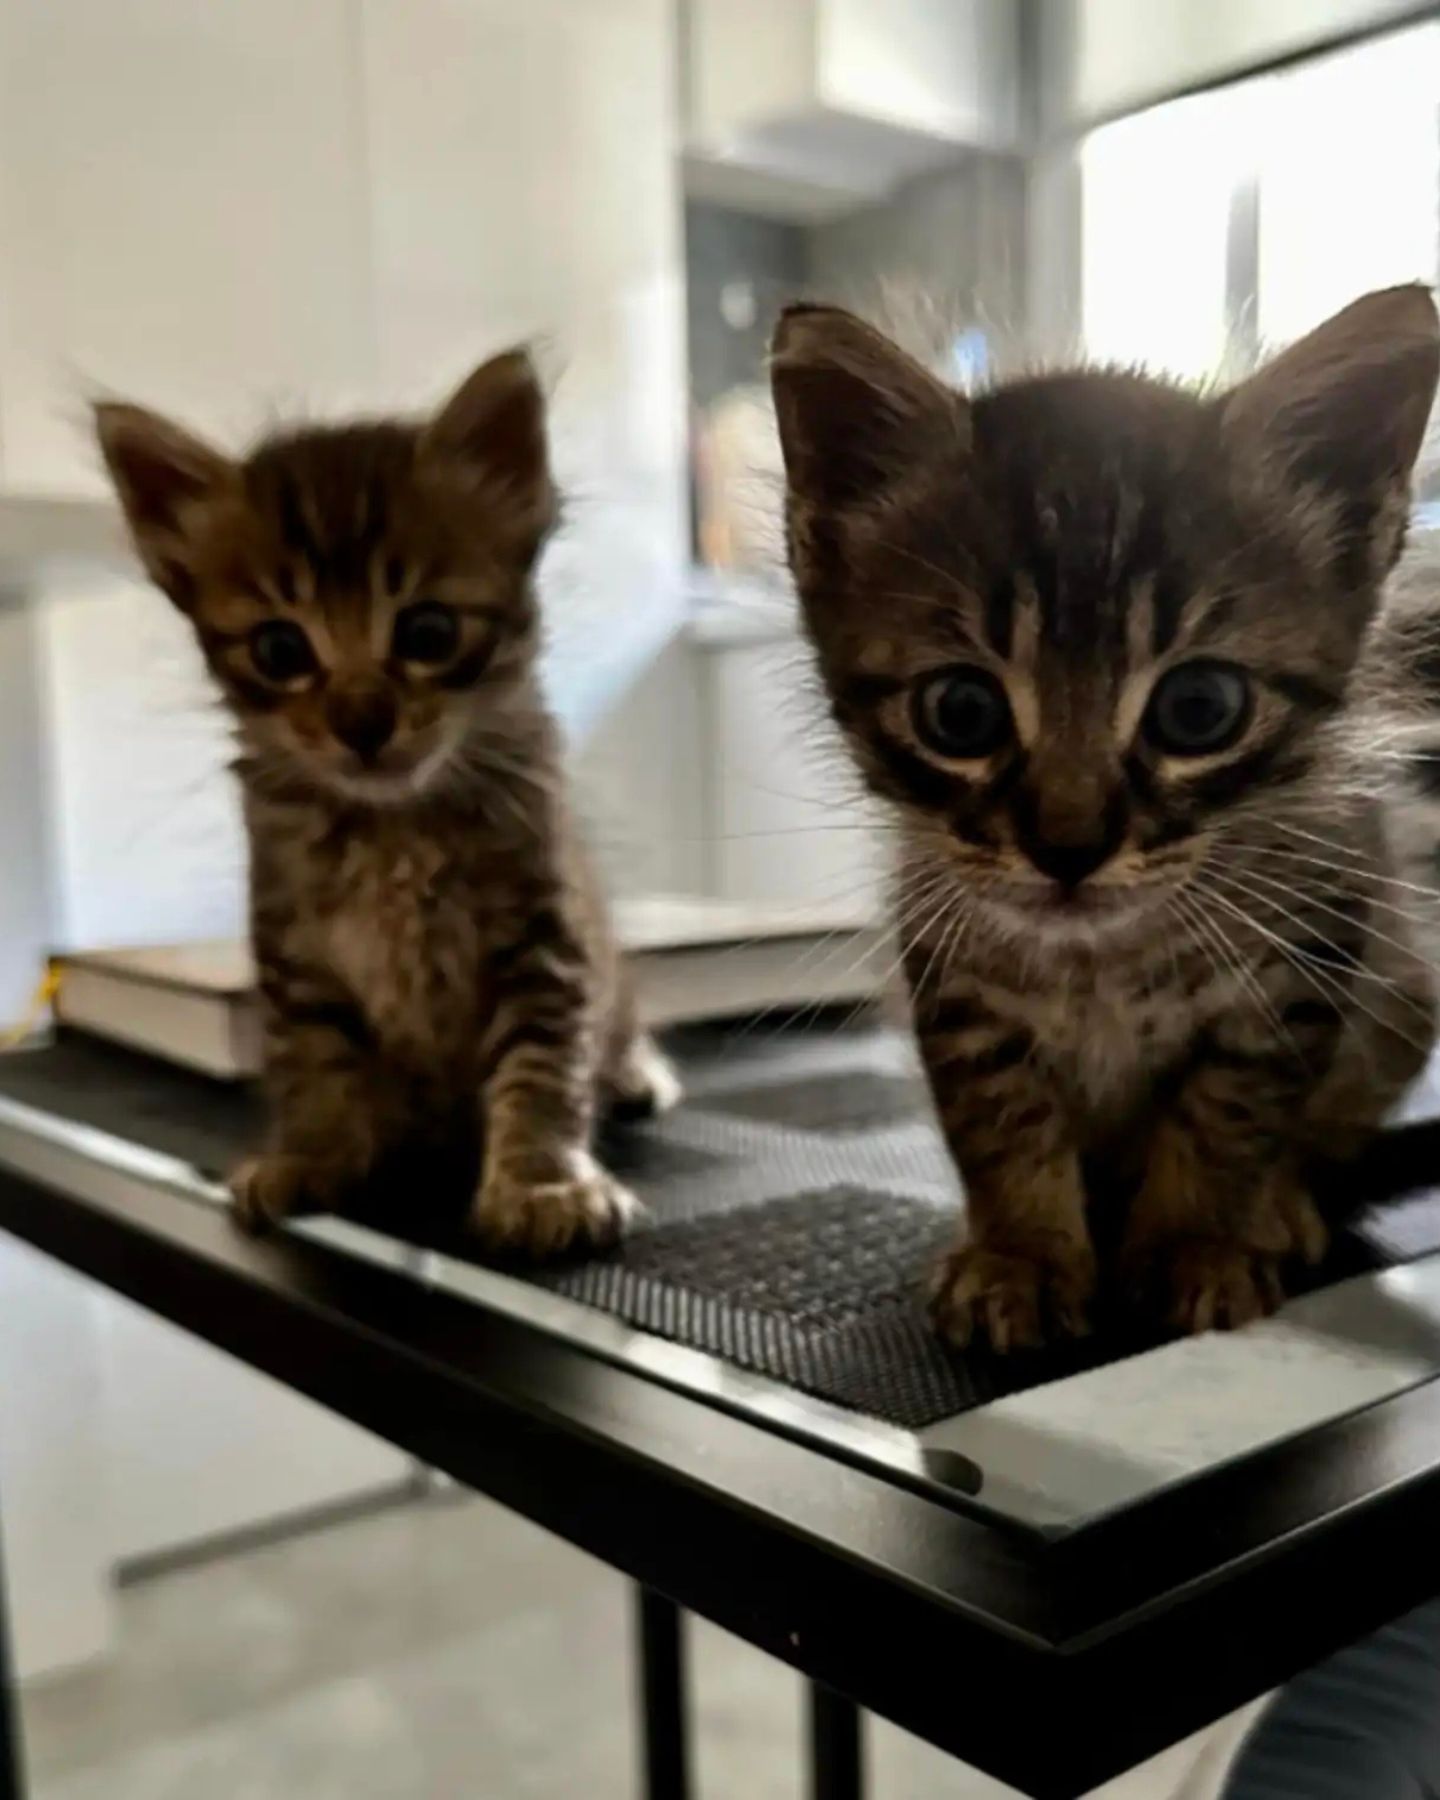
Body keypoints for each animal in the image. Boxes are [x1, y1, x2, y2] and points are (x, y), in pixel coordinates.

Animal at [98, 347, 676, 1252]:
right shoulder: (297, 954)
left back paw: (637, 1076)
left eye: (429, 633)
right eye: (280, 649)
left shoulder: (546, 943)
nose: (361, 722)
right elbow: (315, 1063)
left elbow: (543, 1069)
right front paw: (310, 1158)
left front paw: (542, 1182)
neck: (396, 830)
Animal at [777, 284, 1440, 1353]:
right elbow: (1001, 1126)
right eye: (960, 712)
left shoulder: (1294, 972)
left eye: (1199, 708)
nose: (1069, 846)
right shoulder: (950, 977)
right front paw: (1019, 1254)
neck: (1101, 962)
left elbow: (1227, 1122)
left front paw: (1194, 1246)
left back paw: (1281, 1208)